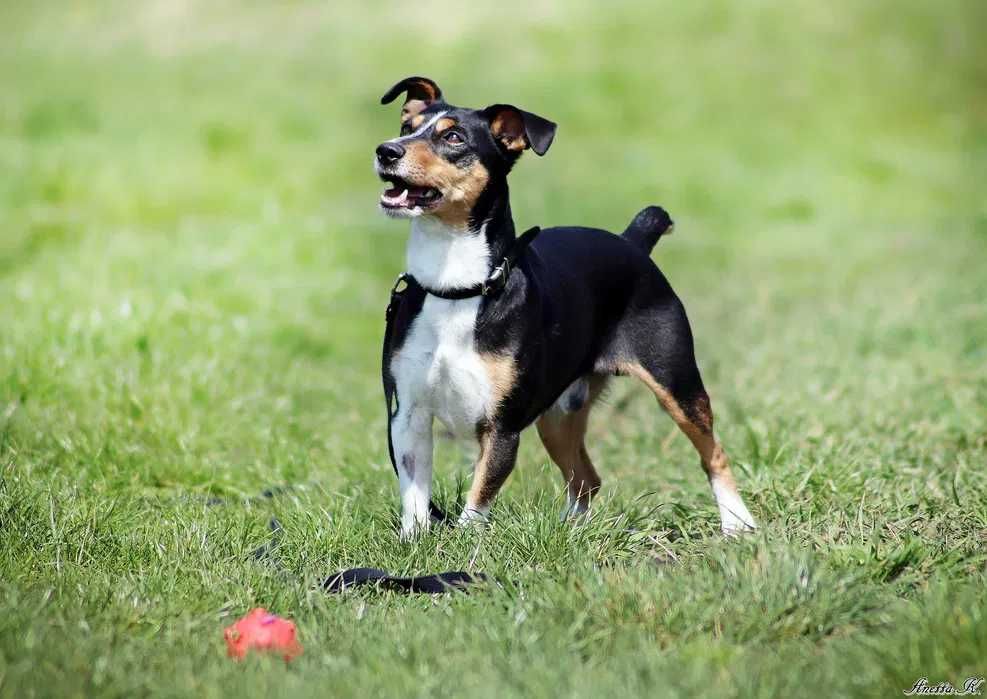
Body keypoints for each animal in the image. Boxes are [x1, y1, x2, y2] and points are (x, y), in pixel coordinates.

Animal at [372, 75, 756, 536]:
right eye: (406, 125)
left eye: (453, 137)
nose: (386, 150)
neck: (459, 288)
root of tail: (632, 242)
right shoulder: (408, 416)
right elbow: (415, 501)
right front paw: (413, 546)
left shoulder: (502, 428)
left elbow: (477, 502)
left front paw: (465, 548)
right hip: (557, 416)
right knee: (587, 478)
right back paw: (571, 531)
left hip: (677, 384)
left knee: (712, 453)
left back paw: (738, 524)